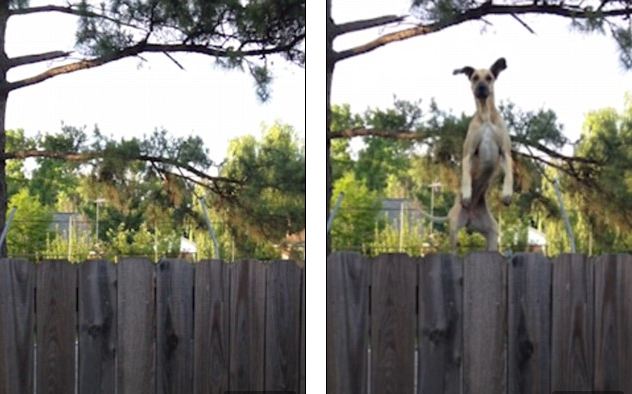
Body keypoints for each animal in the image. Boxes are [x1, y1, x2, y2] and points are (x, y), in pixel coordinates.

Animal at [422, 57, 512, 251]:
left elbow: (509, 175)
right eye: (475, 77)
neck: (485, 116)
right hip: (454, 231)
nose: (481, 87)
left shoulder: (506, 152)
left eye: (489, 77)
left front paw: (507, 195)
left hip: (492, 234)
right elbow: (466, 177)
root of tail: (471, 219)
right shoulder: (468, 153)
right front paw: (467, 195)